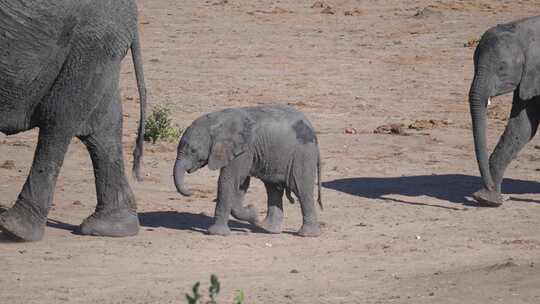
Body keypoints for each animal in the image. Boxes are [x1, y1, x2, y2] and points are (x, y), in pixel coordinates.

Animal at [0, 0, 147, 242]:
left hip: (88, 45)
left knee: (58, 121)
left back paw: (16, 230)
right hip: (98, 50)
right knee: (104, 128)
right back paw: (111, 228)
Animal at [175, 105, 322, 236]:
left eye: (193, 150)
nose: (191, 191)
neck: (216, 121)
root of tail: (313, 131)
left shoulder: (243, 150)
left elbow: (229, 180)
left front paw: (216, 233)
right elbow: (241, 183)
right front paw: (253, 214)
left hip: (302, 154)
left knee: (301, 189)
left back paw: (307, 234)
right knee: (273, 189)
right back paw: (267, 229)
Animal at [466, 16, 540, 207]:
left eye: (502, 67)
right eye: (474, 63)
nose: (490, 188)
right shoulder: (530, 78)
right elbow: (522, 127)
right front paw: (488, 199)